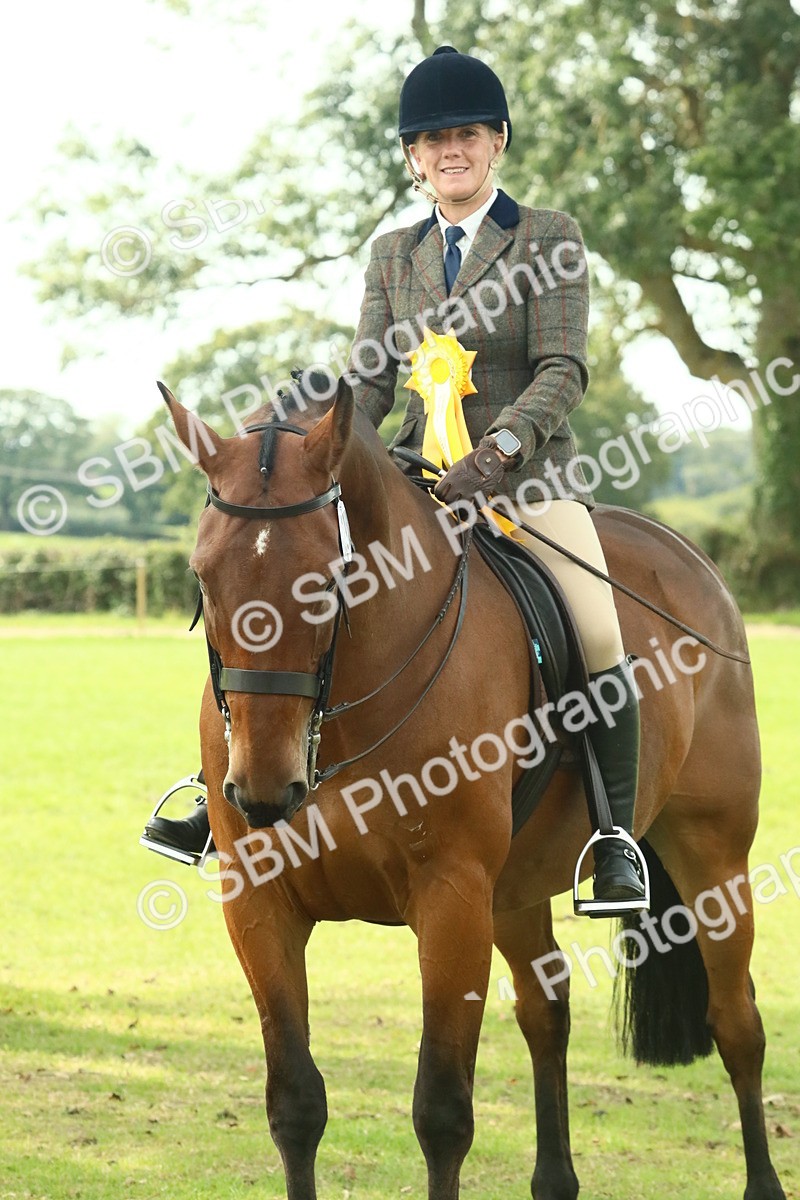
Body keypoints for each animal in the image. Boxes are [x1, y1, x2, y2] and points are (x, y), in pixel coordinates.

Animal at [159, 374, 786, 1200]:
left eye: (330, 580)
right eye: (202, 576)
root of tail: (687, 557)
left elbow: (443, 1111)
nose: (264, 791)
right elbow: (294, 1103)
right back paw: (555, 1180)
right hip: (516, 886)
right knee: (546, 1012)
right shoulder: (261, 903)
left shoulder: (452, 898)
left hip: (712, 853)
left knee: (737, 1023)